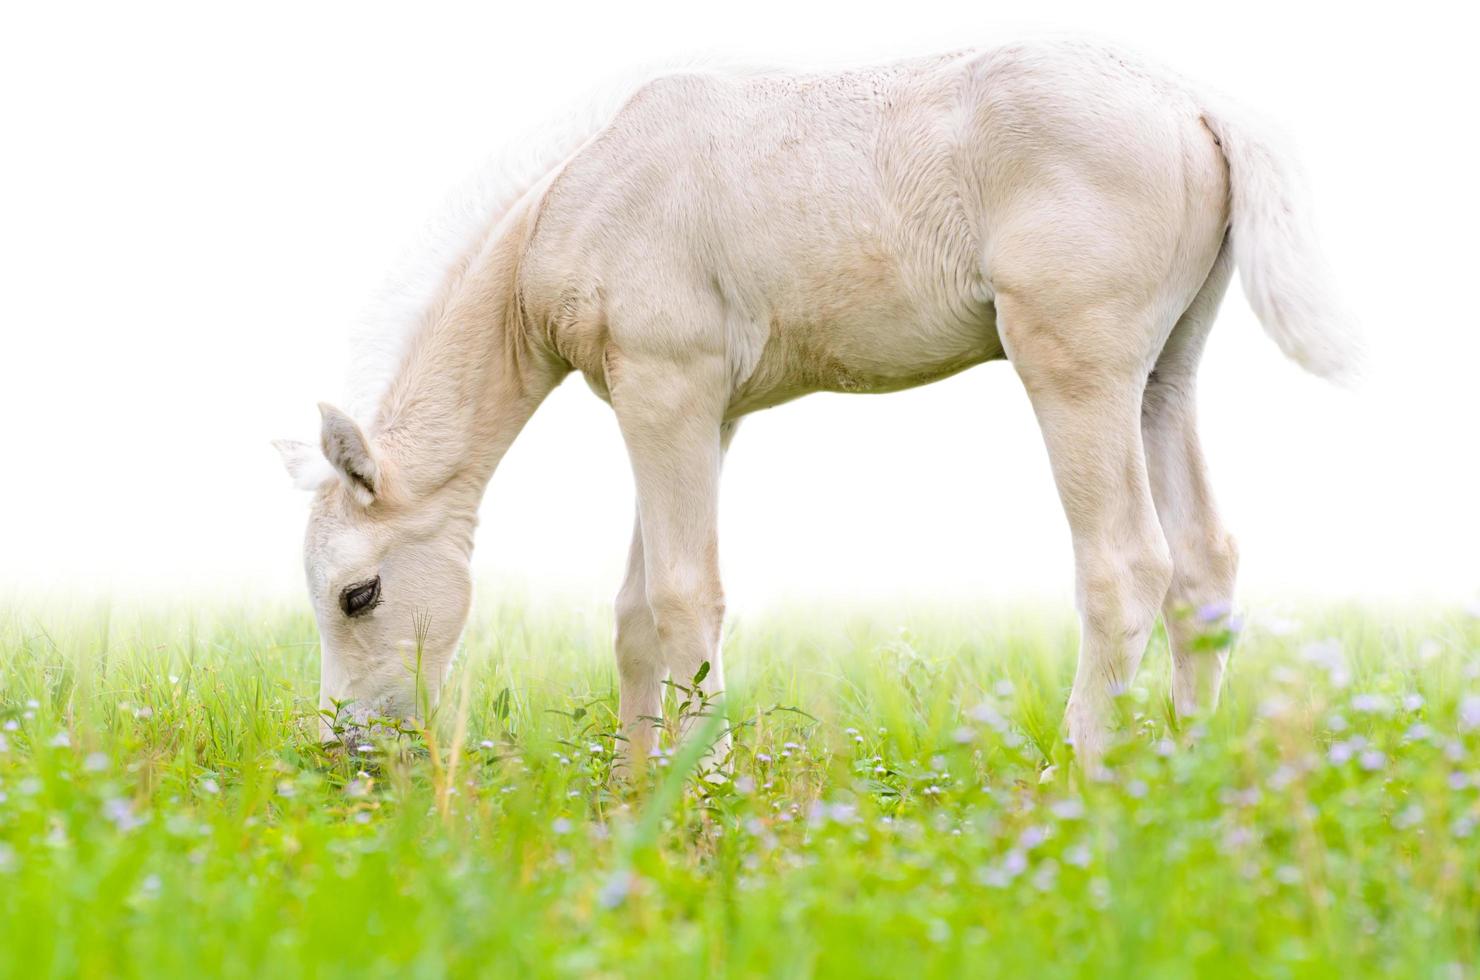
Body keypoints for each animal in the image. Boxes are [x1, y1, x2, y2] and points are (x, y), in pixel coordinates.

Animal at [275, 40, 1355, 775]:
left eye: (358, 594)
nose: (346, 751)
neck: (573, 204)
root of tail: (1195, 105)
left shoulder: (668, 390)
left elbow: (683, 598)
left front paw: (700, 797)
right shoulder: (695, 412)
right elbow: (634, 610)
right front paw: (630, 794)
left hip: (1075, 365)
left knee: (1126, 566)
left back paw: (1084, 785)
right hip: (1163, 373)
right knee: (1203, 564)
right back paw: (1181, 781)